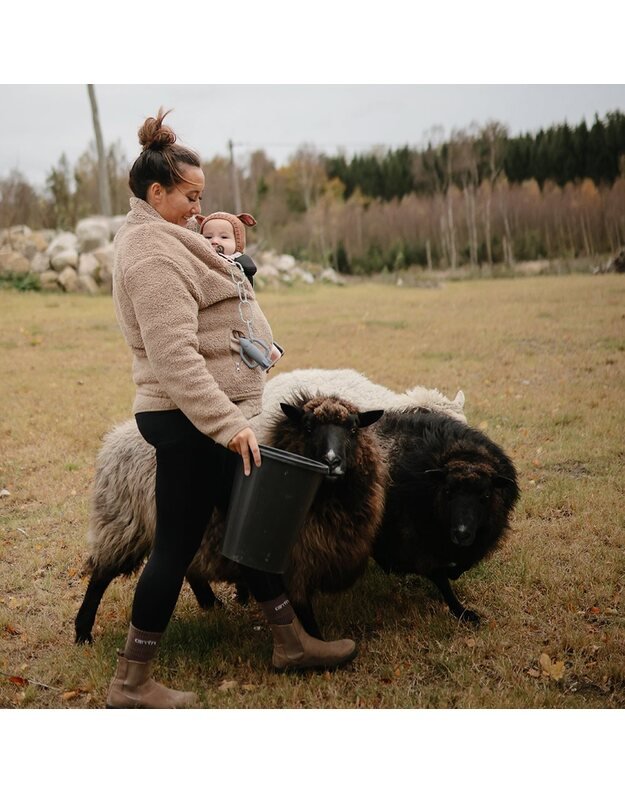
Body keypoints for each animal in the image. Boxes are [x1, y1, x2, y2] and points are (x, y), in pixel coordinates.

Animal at [372, 412, 520, 620]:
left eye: (485, 496)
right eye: (448, 491)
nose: (461, 533)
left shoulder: (479, 539)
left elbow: (463, 564)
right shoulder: (418, 545)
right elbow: (440, 576)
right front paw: (461, 611)